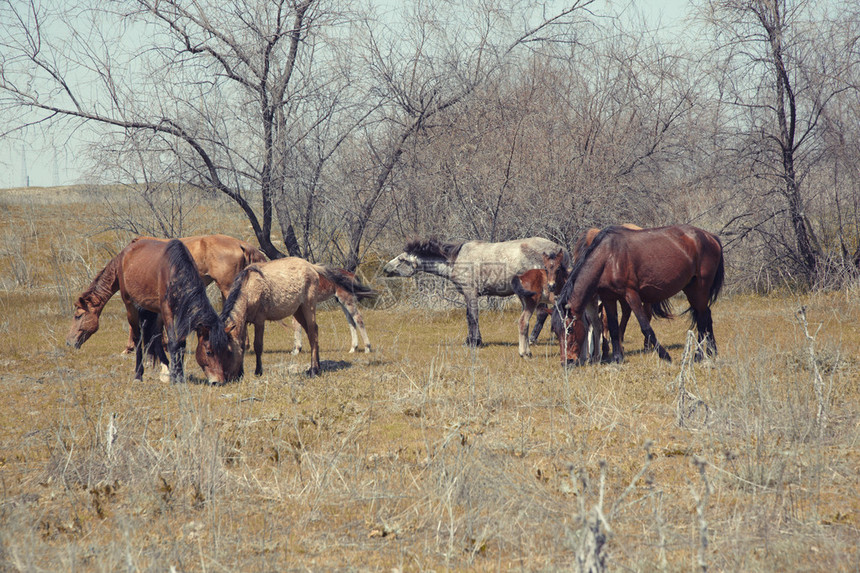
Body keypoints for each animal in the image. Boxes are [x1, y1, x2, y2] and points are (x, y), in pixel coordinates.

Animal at [96, 237, 239, 384]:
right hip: (131, 305)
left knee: (155, 335)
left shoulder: (180, 313)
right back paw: (138, 375)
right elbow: (173, 342)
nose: (219, 380)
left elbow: (181, 344)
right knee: (138, 338)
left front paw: (178, 375)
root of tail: (125, 252)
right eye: (209, 352)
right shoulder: (167, 310)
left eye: (225, 351)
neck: (175, 271)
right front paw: (176, 377)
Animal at [222, 258, 366, 376]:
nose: (225, 378)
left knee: (314, 334)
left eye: (228, 351)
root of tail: (311, 266)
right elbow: (242, 344)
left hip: (309, 307)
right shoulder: (244, 322)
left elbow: (258, 345)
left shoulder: (259, 321)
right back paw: (318, 366)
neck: (249, 288)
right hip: (299, 311)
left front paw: (258, 371)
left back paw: (314, 370)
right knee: (315, 332)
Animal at [384, 236, 572, 346]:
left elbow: (472, 317)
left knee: (544, 313)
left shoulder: (470, 293)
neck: (456, 261)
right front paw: (473, 340)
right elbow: (470, 316)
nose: (385, 268)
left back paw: (533, 339)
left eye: (401, 259)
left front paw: (474, 342)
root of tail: (561, 250)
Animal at [552, 225, 724, 366]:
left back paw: (698, 355)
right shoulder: (608, 298)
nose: (567, 362)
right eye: (556, 332)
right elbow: (613, 328)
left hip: (700, 288)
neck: (608, 257)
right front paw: (617, 359)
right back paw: (711, 351)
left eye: (570, 329)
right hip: (691, 289)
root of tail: (710, 236)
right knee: (706, 315)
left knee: (702, 319)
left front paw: (665, 356)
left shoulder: (631, 295)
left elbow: (645, 327)